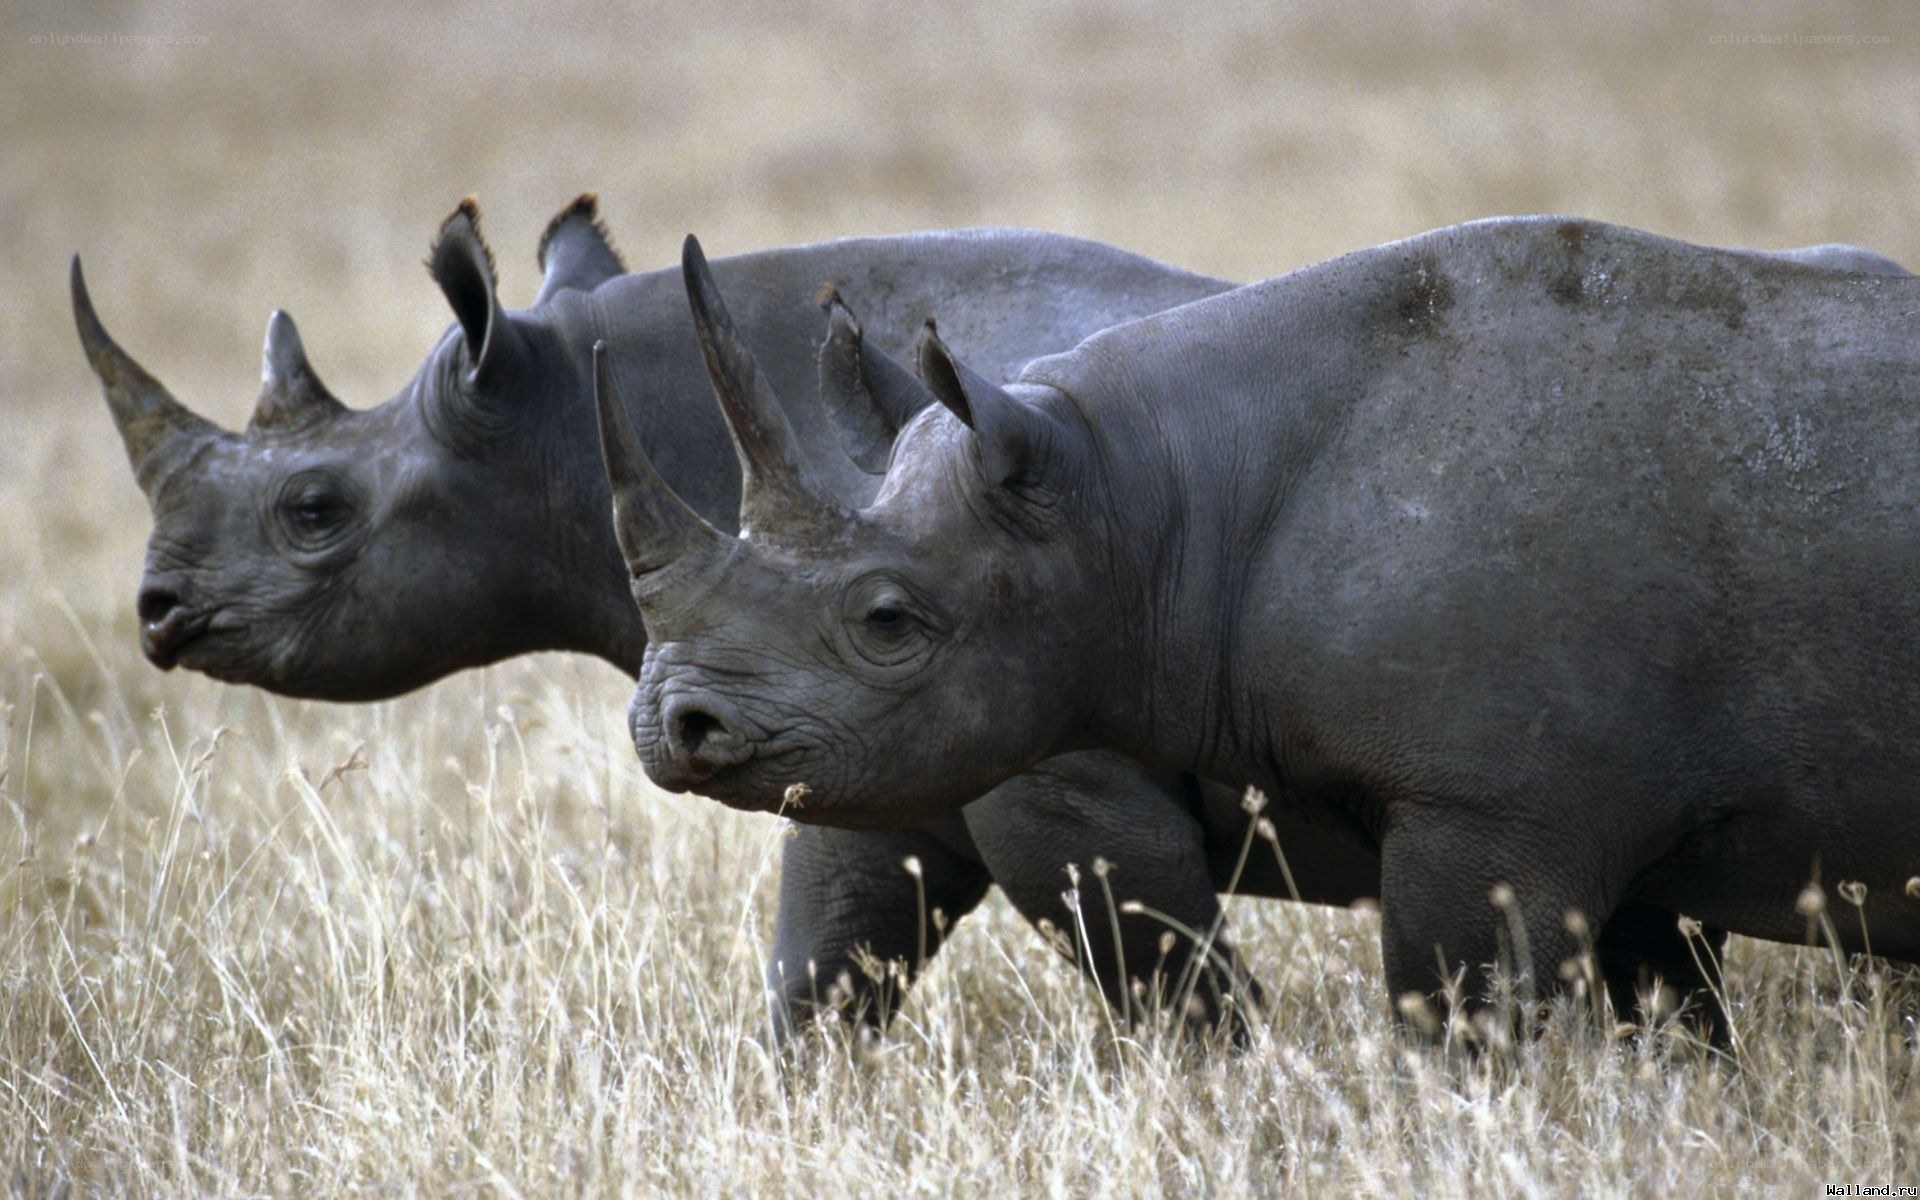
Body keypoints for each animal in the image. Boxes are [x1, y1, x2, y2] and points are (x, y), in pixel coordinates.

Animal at [599, 217, 1920, 1031]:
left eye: (886, 621)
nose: (672, 723)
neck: (1141, 498)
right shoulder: (1618, 821)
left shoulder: (1497, 809)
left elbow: (1461, 1022)